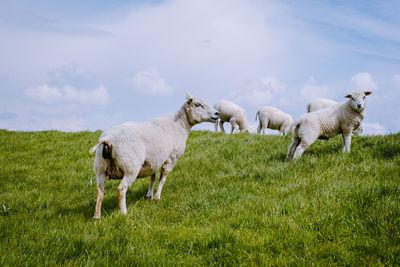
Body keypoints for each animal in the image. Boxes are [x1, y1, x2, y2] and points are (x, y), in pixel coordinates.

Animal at [89, 93, 219, 220]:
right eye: (198, 104)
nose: (217, 113)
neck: (179, 126)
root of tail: (108, 138)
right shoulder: (171, 159)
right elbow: (162, 178)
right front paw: (157, 197)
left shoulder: (154, 160)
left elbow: (153, 177)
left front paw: (149, 196)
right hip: (130, 167)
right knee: (121, 189)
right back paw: (124, 213)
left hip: (100, 167)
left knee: (100, 191)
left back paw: (97, 216)